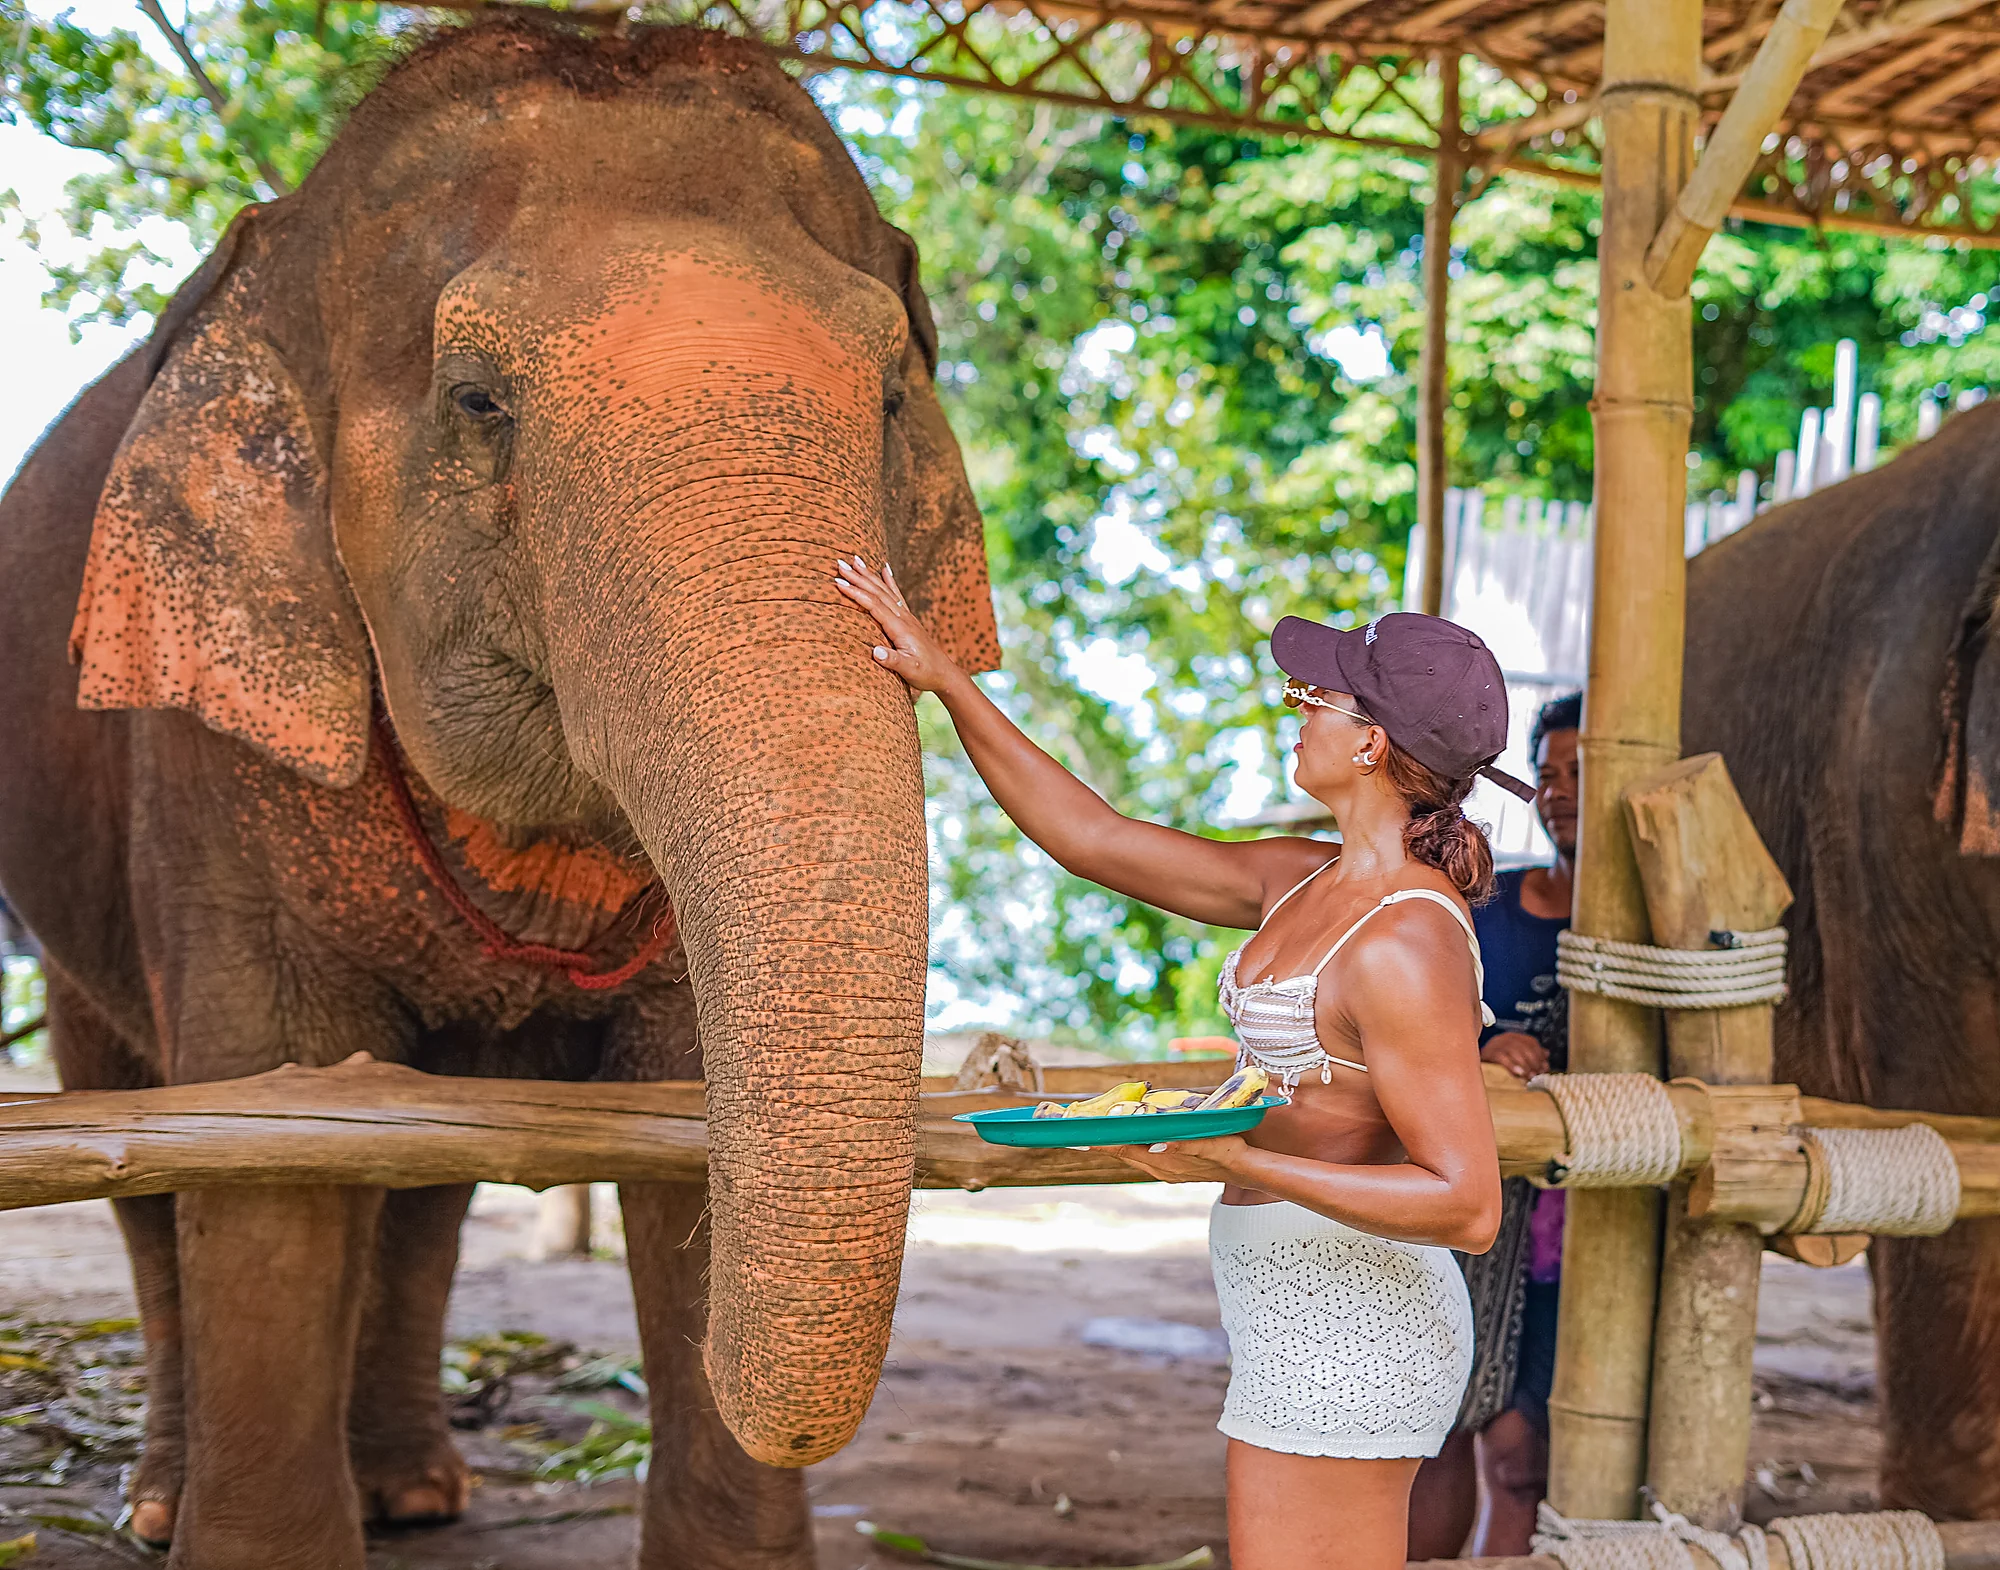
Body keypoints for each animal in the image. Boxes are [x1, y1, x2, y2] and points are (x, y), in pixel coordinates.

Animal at [0, 18, 999, 1570]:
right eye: (478, 400)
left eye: (894, 397)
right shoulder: (211, 749)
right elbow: (264, 1141)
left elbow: (678, 1130)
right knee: (142, 1139)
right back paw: (164, 1498)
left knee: (423, 1176)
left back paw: (413, 1490)